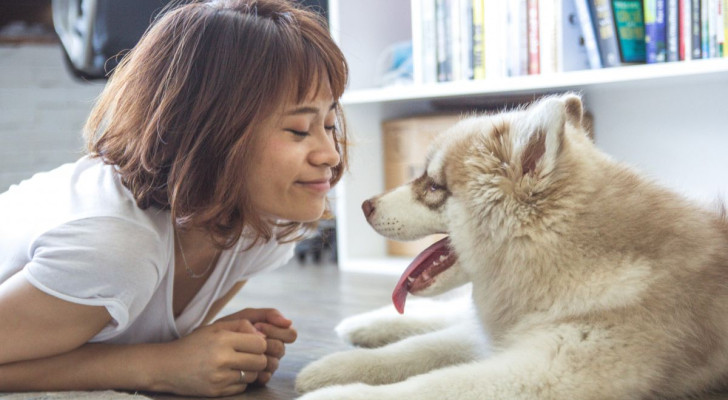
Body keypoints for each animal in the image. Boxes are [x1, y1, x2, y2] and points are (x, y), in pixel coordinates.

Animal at [292, 94, 728, 400]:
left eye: (433, 186)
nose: (365, 206)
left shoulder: (548, 371)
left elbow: (432, 382)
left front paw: (338, 392)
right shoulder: (508, 339)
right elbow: (416, 350)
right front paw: (337, 366)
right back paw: (364, 325)